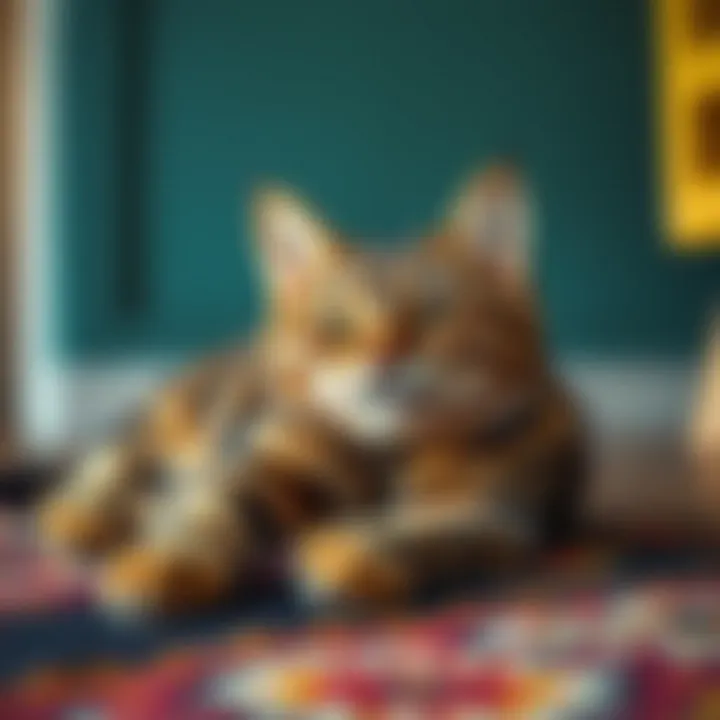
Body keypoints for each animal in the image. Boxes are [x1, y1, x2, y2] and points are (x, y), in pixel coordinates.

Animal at [38, 163, 584, 612]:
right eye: (335, 325)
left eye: (433, 316)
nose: (384, 359)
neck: (385, 453)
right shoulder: (263, 462)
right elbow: (210, 512)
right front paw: (172, 560)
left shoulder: (494, 514)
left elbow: (422, 532)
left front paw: (353, 548)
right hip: (174, 422)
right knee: (118, 464)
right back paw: (85, 515)